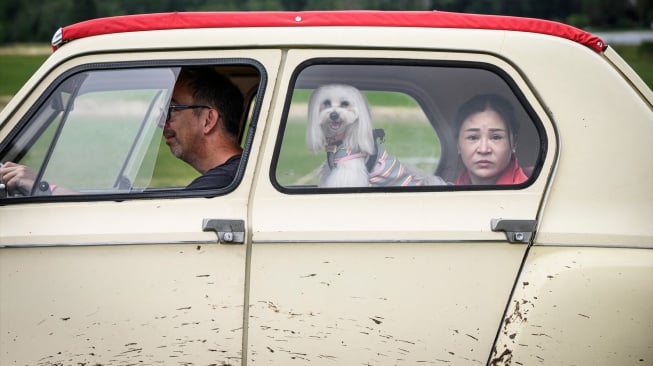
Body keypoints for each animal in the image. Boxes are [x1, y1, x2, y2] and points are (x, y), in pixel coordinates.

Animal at [306, 84, 444, 187]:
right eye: (326, 103)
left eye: (345, 104)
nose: (334, 115)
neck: (339, 139)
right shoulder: (329, 171)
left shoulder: (348, 171)